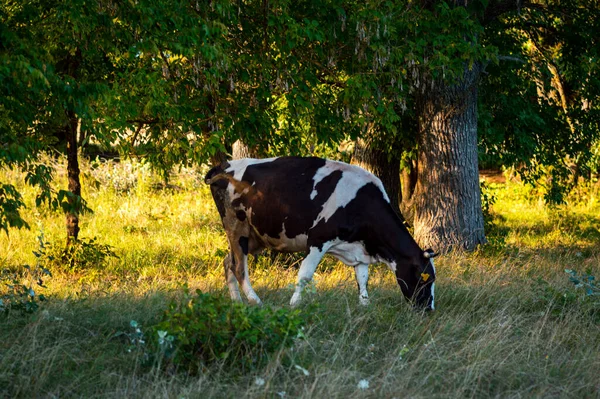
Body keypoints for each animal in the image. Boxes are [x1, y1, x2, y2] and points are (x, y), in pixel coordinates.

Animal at [205, 155, 436, 310]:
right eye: (425, 278)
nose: (428, 310)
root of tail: (225, 165)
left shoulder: (359, 248)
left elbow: (363, 278)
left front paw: (364, 305)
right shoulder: (318, 240)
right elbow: (305, 275)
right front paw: (294, 304)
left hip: (254, 236)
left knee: (228, 262)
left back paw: (237, 303)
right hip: (237, 227)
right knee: (238, 267)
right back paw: (256, 301)